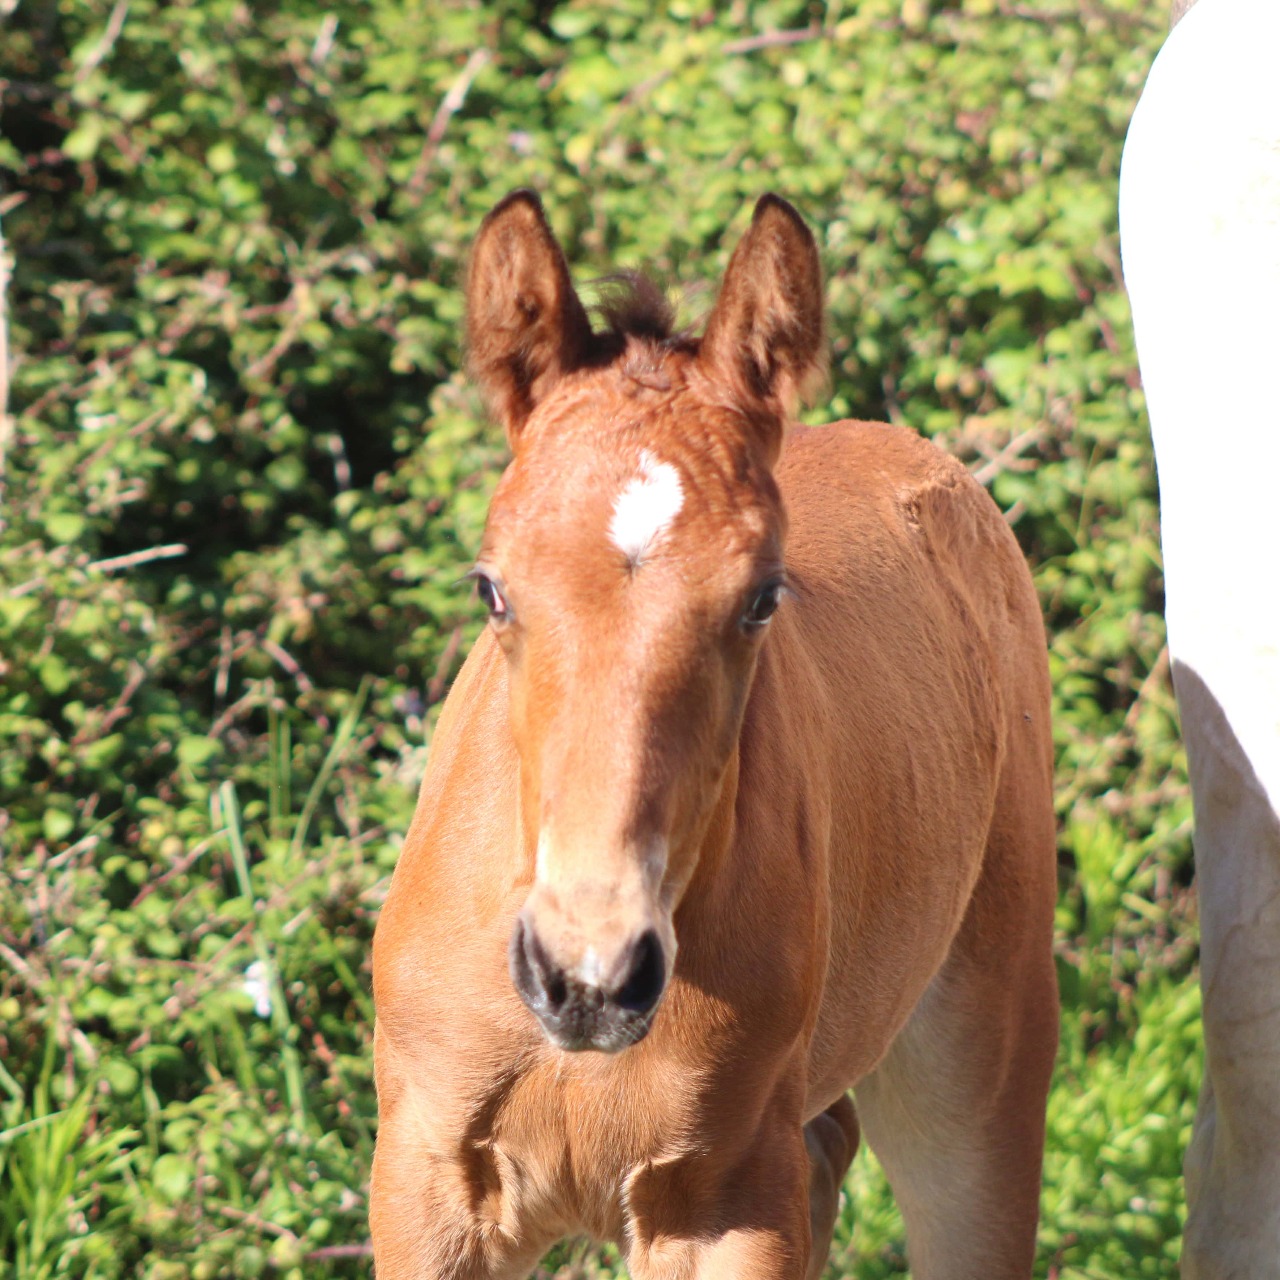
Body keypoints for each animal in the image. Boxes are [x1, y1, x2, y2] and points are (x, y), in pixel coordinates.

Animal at [373, 192, 1059, 1280]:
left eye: (761, 598)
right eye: (491, 588)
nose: (590, 975)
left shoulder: (725, 1205)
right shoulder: (429, 1187)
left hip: (977, 1064)